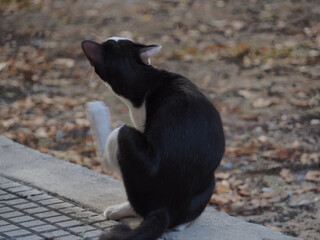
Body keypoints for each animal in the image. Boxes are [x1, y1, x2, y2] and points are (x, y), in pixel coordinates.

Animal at [81, 37, 224, 240]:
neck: (146, 78)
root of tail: (163, 209)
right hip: (210, 181)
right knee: (178, 223)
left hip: (124, 134)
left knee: (109, 157)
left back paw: (96, 113)